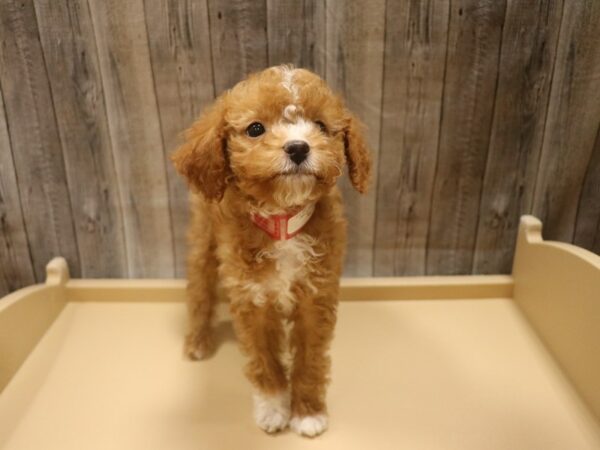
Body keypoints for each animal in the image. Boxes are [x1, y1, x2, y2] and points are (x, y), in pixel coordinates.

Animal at [171, 65, 372, 438]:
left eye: (320, 125)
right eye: (255, 129)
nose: (298, 147)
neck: (282, 220)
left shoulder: (316, 297)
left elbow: (310, 360)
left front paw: (307, 412)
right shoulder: (253, 301)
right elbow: (264, 360)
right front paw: (273, 409)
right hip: (204, 241)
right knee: (199, 290)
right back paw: (197, 341)